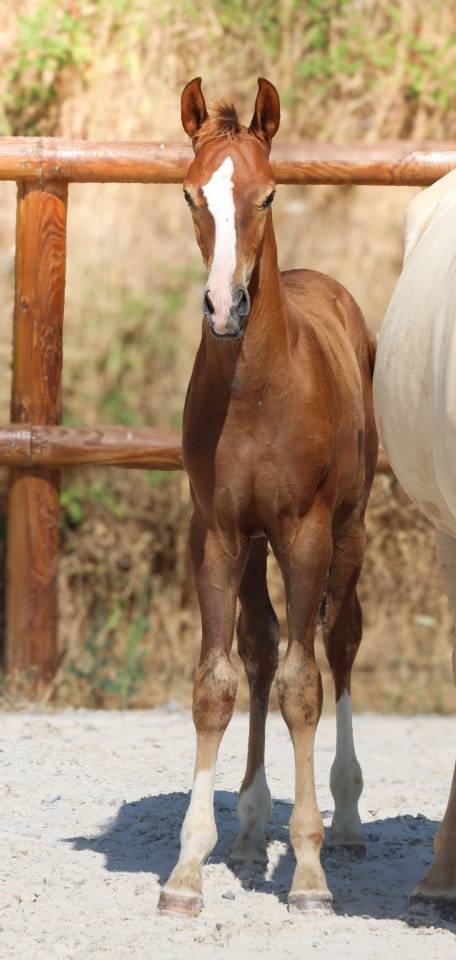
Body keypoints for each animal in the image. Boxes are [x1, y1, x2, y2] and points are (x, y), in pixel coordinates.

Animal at [158, 77, 378, 917]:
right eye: (192, 194)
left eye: (270, 194)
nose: (225, 307)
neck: (258, 389)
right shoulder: (219, 532)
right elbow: (218, 683)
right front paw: (187, 870)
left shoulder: (305, 531)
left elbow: (304, 686)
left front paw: (310, 872)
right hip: (254, 546)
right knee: (259, 647)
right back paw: (252, 827)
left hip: (348, 531)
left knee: (337, 640)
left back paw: (344, 821)